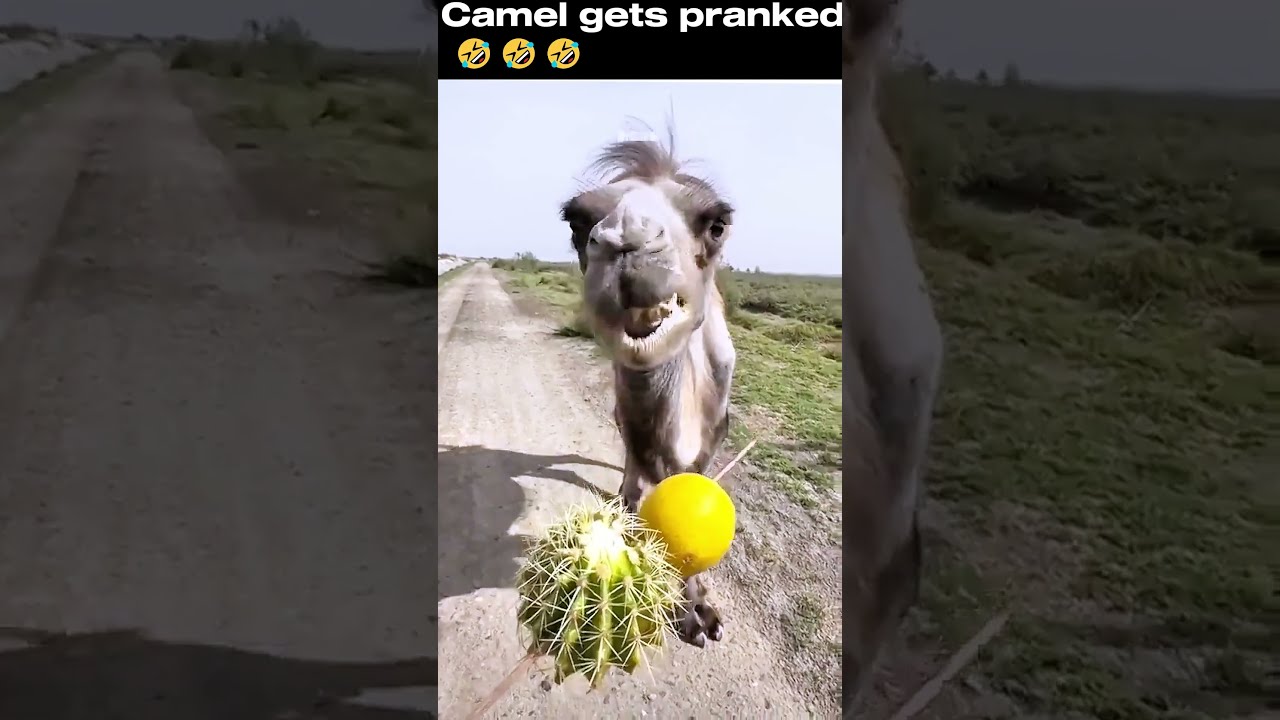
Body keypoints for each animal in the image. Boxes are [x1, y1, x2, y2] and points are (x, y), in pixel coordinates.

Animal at [559, 133, 736, 648]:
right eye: (576, 220)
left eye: (717, 224)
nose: (627, 242)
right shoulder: (634, 419)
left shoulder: (715, 432)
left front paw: (700, 612)